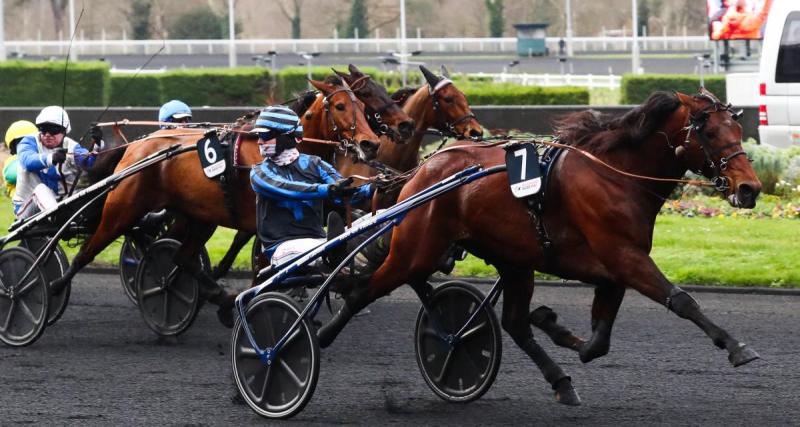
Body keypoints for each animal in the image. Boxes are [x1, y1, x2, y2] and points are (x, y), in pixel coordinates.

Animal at [49, 77, 382, 328]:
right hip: (124, 208)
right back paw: (52, 287)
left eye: (363, 106)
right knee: (90, 248)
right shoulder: (263, 221)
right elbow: (265, 268)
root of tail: (138, 144)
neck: (277, 152)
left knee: (181, 256)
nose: (371, 144)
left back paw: (212, 296)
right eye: (340, 106)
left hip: (199, 216)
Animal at [312, 89, 764, 404]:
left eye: (738, 130)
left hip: (513, 260)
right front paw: (736, 347)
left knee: (513, 322)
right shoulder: (624, 256)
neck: (616, 174)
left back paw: (559, 380)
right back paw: (318, 336)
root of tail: (423, 170)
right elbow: (682, 300)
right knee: (365, 289)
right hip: (416, 249)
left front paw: (553, 324)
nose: (750, 188)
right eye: (709, 131)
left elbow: (598, 341)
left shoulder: (614, 264)